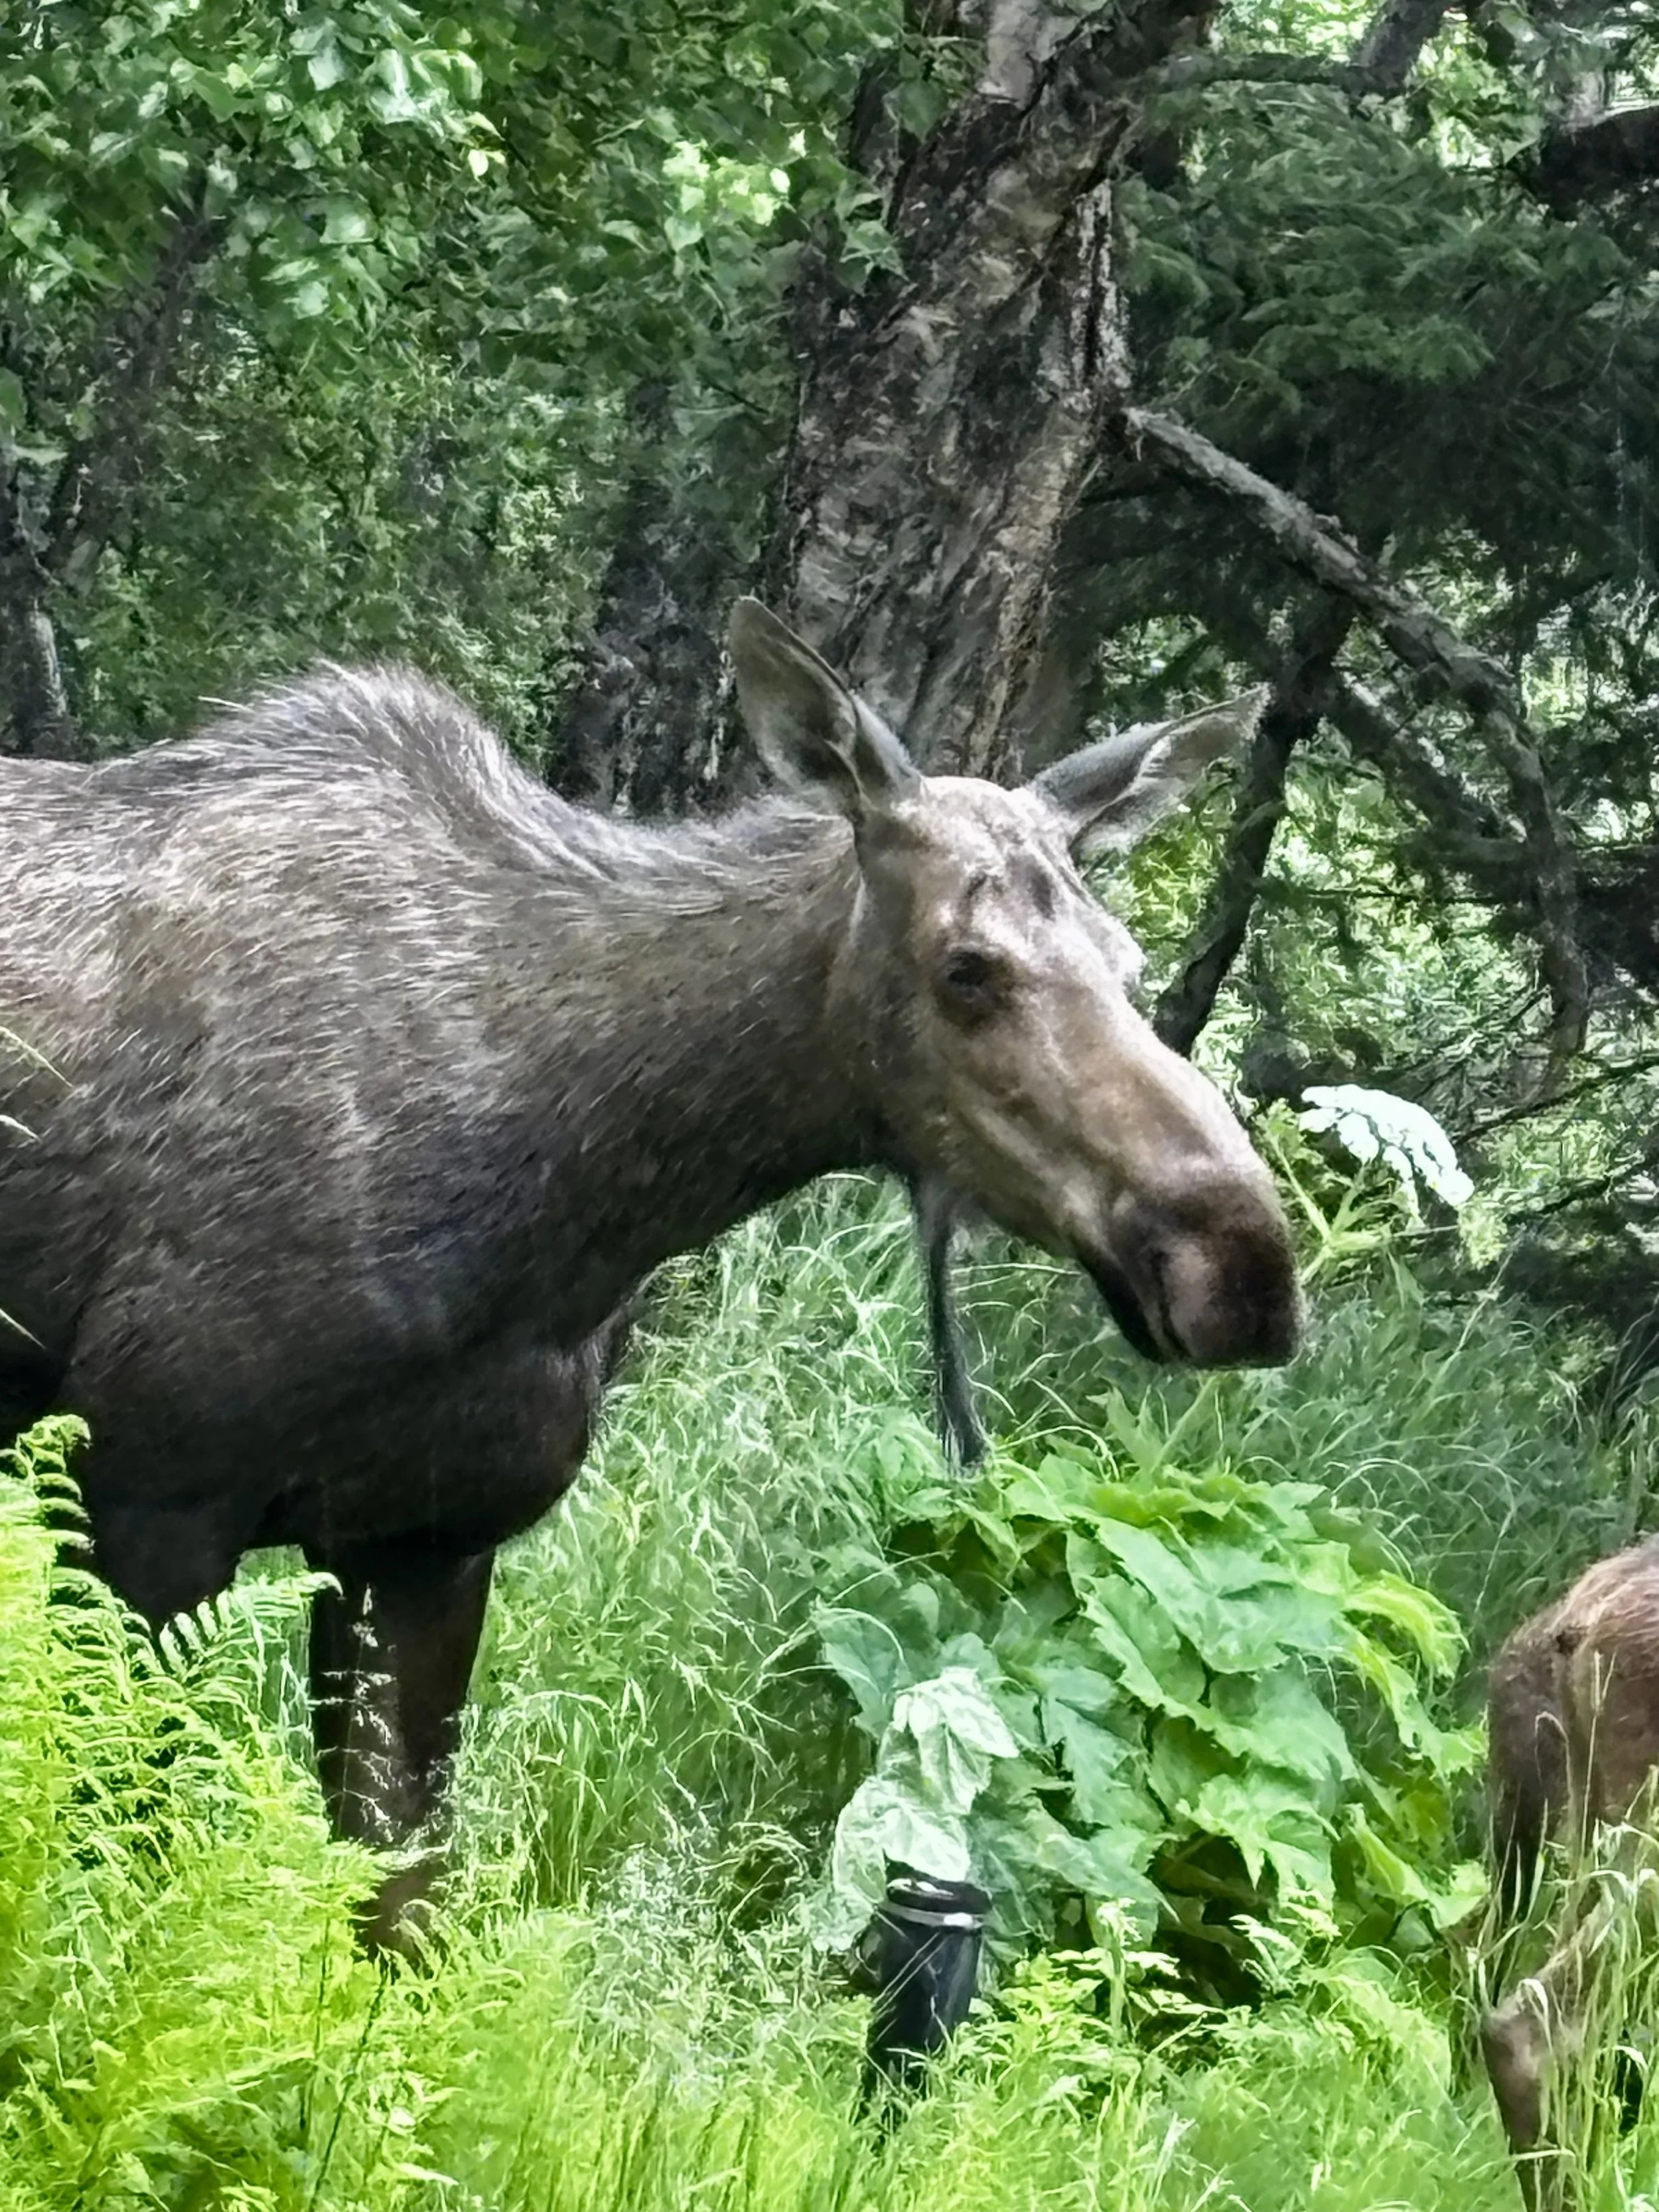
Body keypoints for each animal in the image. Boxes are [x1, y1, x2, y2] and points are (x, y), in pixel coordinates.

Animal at [0, 599, 1301, 1946]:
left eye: (1129, 960)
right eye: (967, 967)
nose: (1242, 1265)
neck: (563, 1215)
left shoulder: (429, 1544)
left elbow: (397, 1909)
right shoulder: (144, 1499)